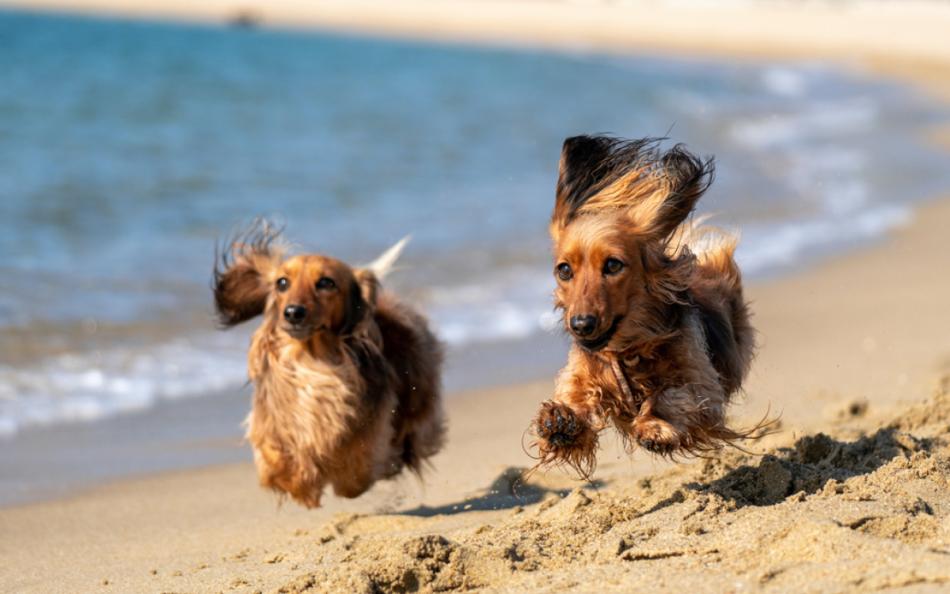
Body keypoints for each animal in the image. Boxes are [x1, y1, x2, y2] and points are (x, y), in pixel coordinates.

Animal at [214, 220, 444, 506]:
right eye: (282, 282)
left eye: (325, 282)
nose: (293, 313)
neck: (312, 359)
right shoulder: (273, 423)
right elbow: (276, 460)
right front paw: (301, 482)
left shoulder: (369, 431)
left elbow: (354, 472)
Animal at [540, 135, 764, 476]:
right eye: (564, 270)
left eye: (613, 265)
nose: (580, 325)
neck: (627, 350)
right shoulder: (583, 373)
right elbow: (576, 394)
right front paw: (561, 422)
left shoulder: (702, 386)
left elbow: (671, 395)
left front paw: (654, 426)